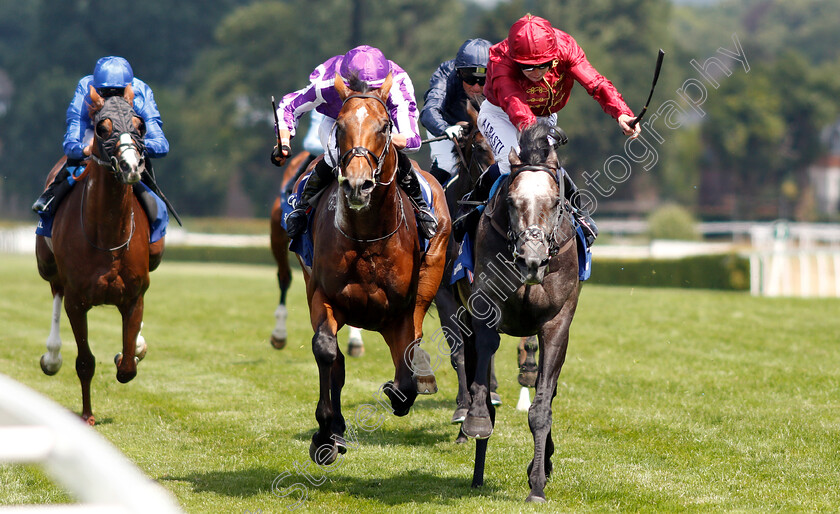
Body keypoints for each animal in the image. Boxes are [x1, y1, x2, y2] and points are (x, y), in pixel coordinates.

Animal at [34, 85, 162, 424]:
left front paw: (127, 353)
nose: (131, 166)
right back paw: (52, 356)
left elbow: (127, 366)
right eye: (102, 128)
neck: (108, 235)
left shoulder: (134, 296)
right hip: (46, 264)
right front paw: (88, 416)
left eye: (140, 126)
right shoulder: (77, 301)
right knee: (55, 289)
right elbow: (85, 361)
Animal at [300, 73, 450, 464]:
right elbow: (326, 351)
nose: (357, 184)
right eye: (339, 126)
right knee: (336, 361)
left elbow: (407, 375)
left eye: (384, 126)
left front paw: (402, 390)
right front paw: (326, 433)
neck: (367, 235)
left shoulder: (401, 312)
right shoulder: (323, 295)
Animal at [456, 122, 580, 498]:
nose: (531, 260)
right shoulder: (483, 305)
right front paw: (477, 420)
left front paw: (537, 482)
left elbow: (543, 403)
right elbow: (483, 364)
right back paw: (476, 467)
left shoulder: (557, 322)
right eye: (511, 201)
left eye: (554, 202)